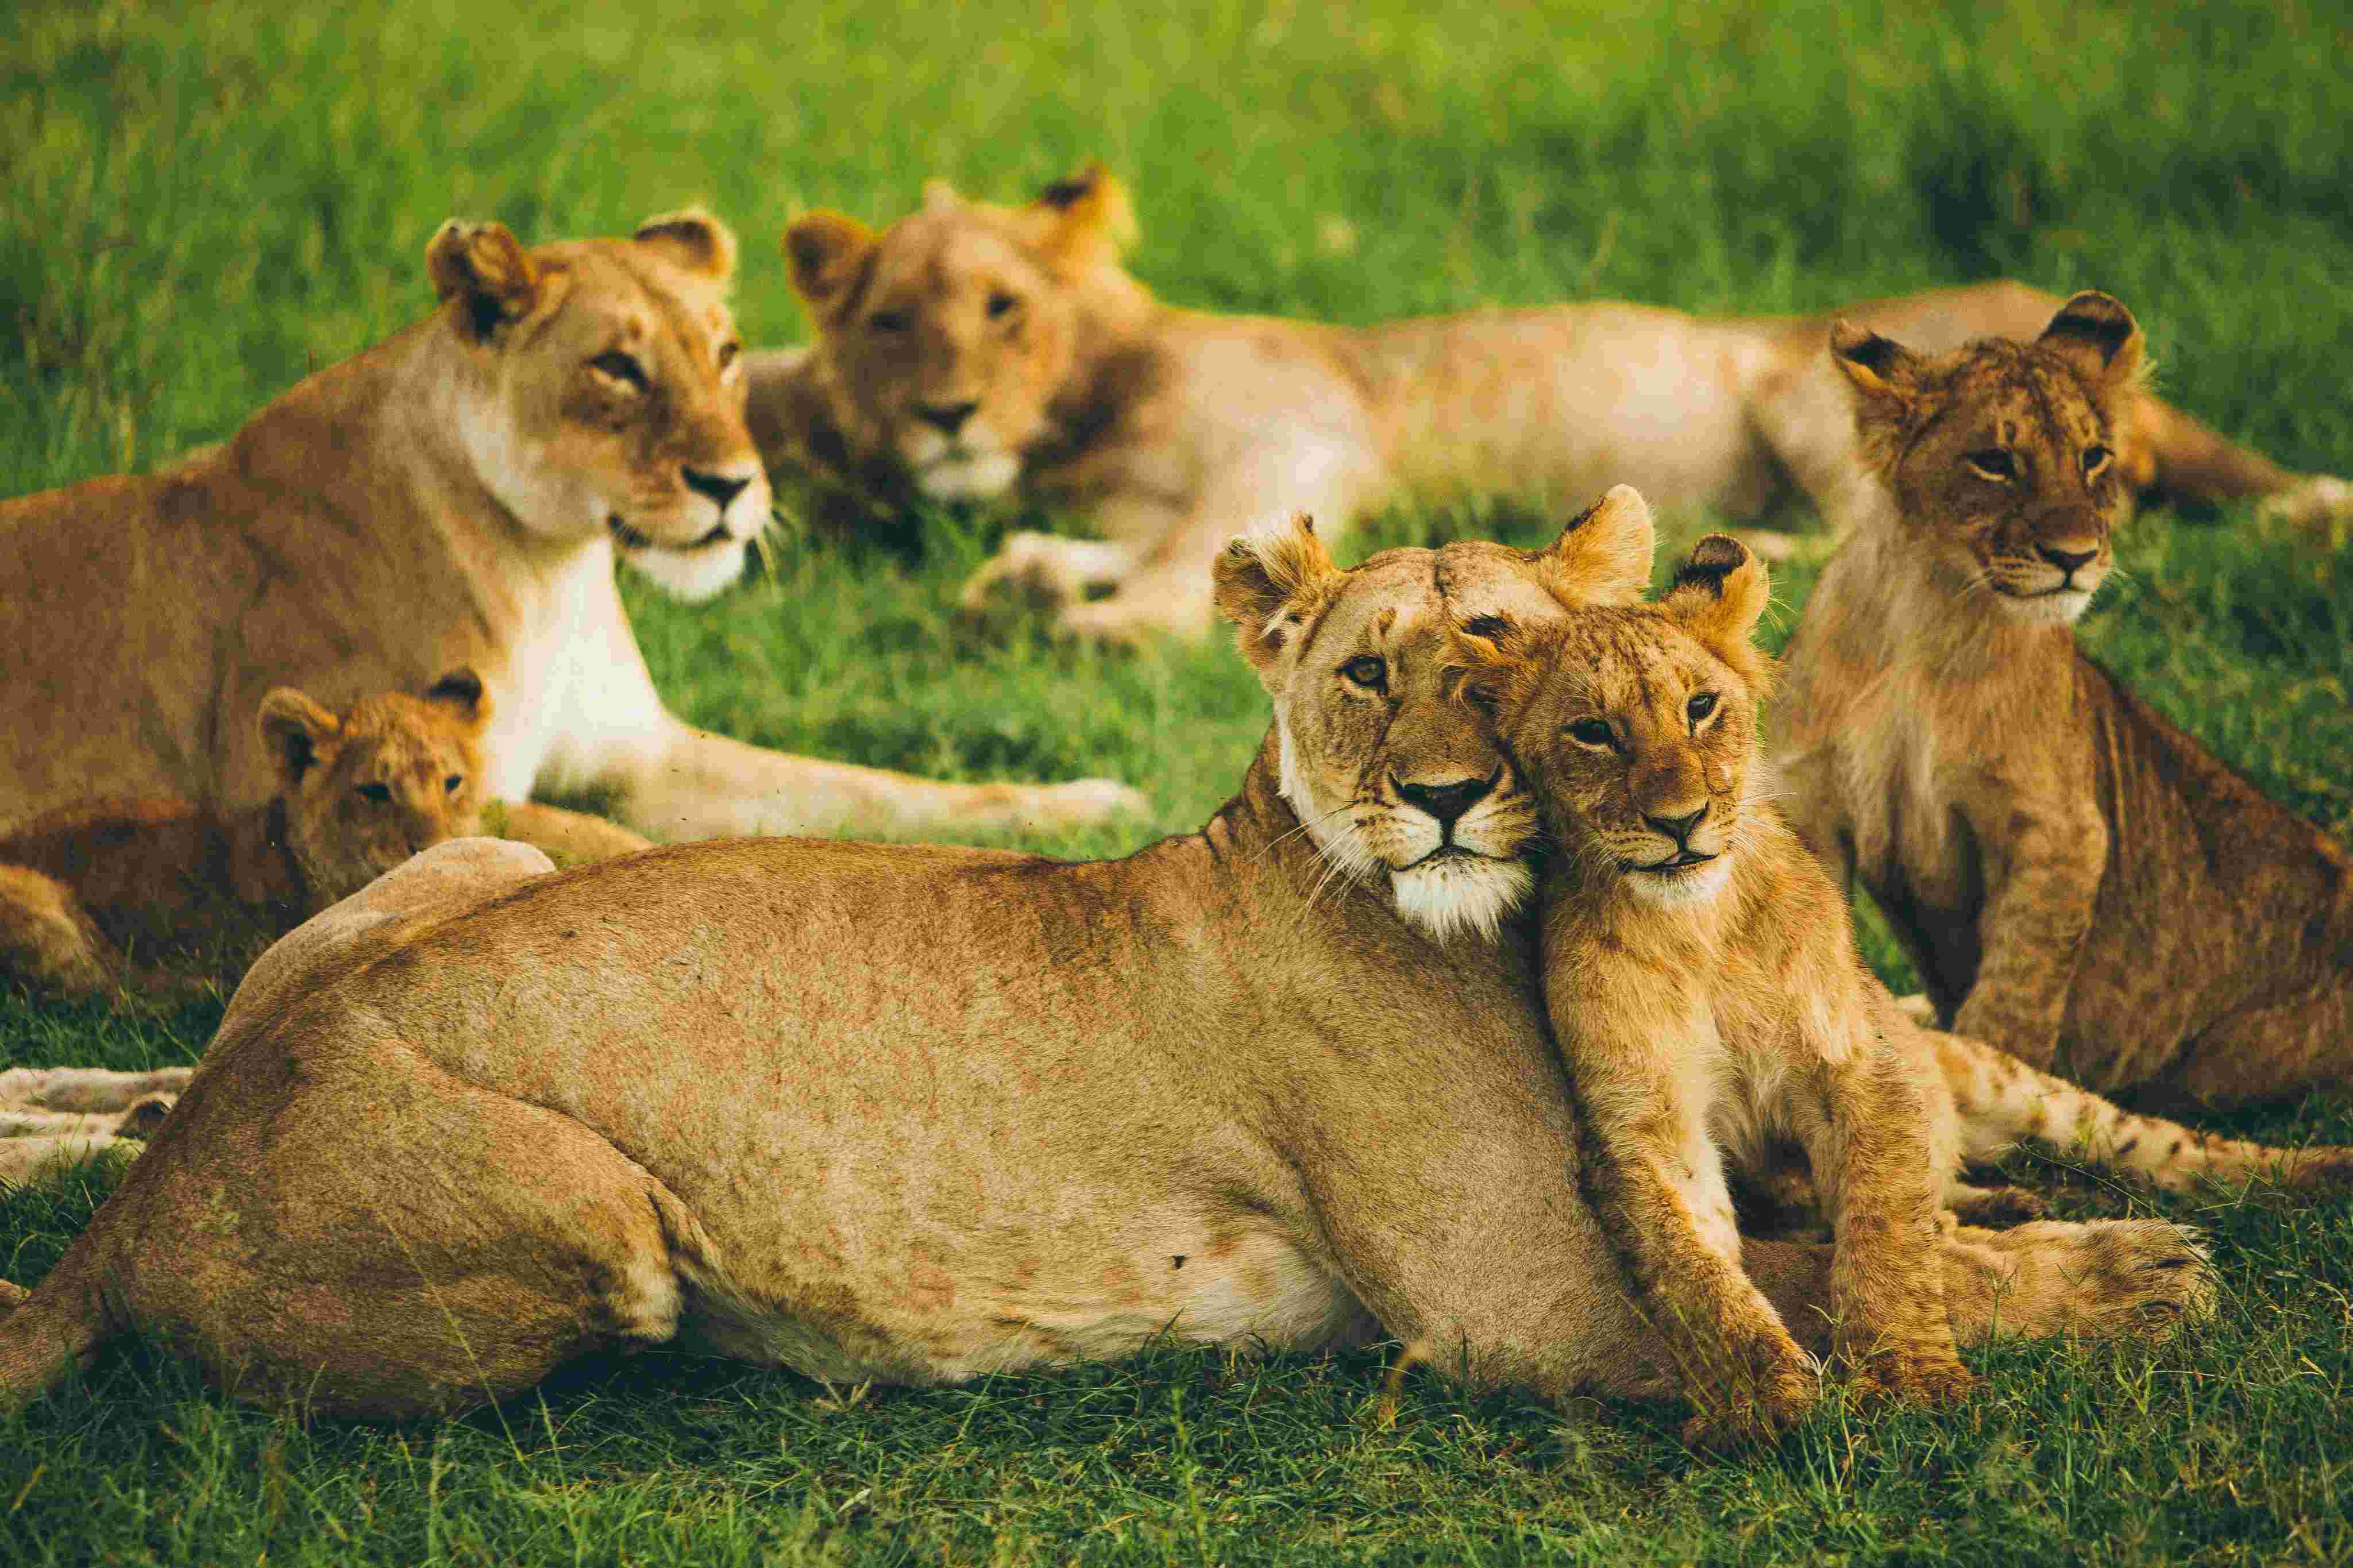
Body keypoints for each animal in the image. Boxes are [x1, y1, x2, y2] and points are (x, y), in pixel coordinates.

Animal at [0, 210, 1144, 853]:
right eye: (617, 367)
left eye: (726, 352)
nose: (732, 486)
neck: (553, 568)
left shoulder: (647, 756)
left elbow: (875, 789)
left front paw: (1091, 804)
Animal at [0, 514, 2214, 1429]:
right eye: (1368, 675)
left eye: (1503, 649)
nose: (1437, 798)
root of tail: (147, 1203)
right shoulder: (1519, 1306)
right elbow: (1794, 1284)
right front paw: (2129, 1276)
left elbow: (1862, 1219)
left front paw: (2042, 1215)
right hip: (602, 1219)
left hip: (470, 851)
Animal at [749, 163, 2352, 644]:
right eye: (890, 322)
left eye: (1001, 310)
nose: (946, 415)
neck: (1081, 413)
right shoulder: (1159, 497)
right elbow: (1127, 549)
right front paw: (1025, 578)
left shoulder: (1293, 441)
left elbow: (1176, 578)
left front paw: (1079, 624)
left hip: (1802, 387)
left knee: (1873, 537)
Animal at [1452, 497, 2341, 1442]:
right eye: (1592, 732)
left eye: (1701, 707)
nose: (1680, 821)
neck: (1697, 926)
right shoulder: (1642, 1125)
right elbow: (1693, 1272)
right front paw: (1758, 1402)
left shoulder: (1858, 1061)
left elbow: (1883, 1224)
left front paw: (1908, 1378)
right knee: (1946, 1194)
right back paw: (2008, 1206)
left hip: (1999, 1074)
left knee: (2159, 1144)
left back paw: (2316, 1172)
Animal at [1776, 291, 2353, 1108]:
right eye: (1994, 462)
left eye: (2094, 457)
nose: (2076, 557)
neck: (1926, 615)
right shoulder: (1809, 804)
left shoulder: (2059, 828)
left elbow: (2014, 993)